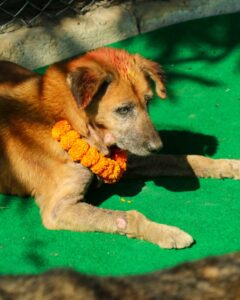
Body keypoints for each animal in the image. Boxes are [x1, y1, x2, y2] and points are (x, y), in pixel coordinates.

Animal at [0, 47, 239, 248]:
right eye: (123, 109)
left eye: (148, 101)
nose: (158, 146)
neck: (73, 122)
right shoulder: (59, 208)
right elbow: (126, 217)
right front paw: (166, 232)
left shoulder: (129, 156)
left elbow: (181, 159)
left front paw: (225, 166)